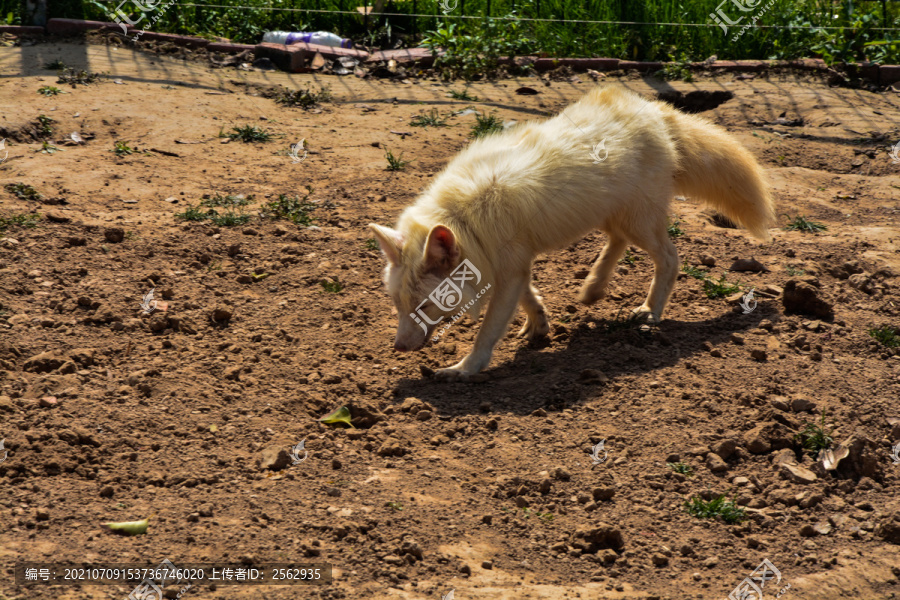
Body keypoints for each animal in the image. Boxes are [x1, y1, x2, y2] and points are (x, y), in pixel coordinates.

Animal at [370, 85, 776, 380]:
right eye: (398, 305)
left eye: (424, 306)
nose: (399, 348)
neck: (465, 218)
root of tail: (654, 109)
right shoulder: (513, 267)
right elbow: (530, 298)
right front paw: (539, 326)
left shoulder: (508, 270)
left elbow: (487, 332)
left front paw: (464, 370)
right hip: (613, 218)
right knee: (618, 243)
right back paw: (593, 287)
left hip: (640, 224)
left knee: (670, 258)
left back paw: (650, 311)